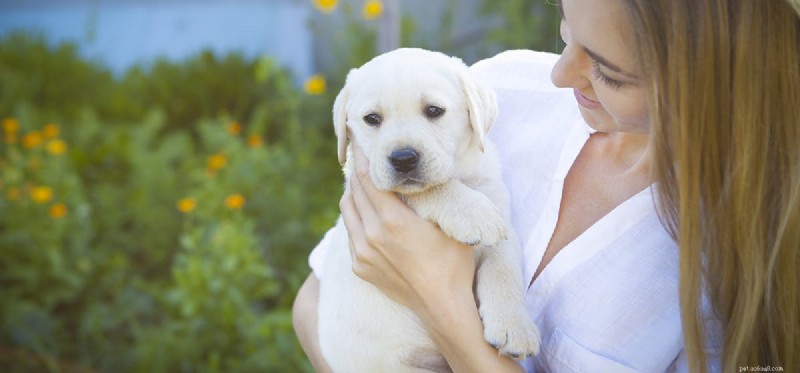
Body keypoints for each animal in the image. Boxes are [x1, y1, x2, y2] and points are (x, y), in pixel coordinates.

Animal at [316, 48, 540, 370]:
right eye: (372, 119)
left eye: (434, 111)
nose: (403, 159)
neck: (461, 172)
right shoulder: (374, 183)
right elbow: (433, 189)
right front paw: (472, 211)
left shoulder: (501, 211)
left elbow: (503, 265)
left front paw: (515, 327)